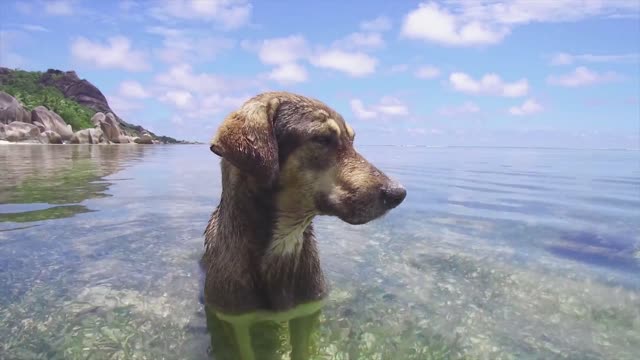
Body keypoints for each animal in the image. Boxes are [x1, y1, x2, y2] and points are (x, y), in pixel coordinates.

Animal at [202, 91, 408, 358]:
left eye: (352, 140)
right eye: (321, 139)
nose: (399, 193)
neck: (285, 241)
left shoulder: (306, 313)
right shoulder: (235, 322)